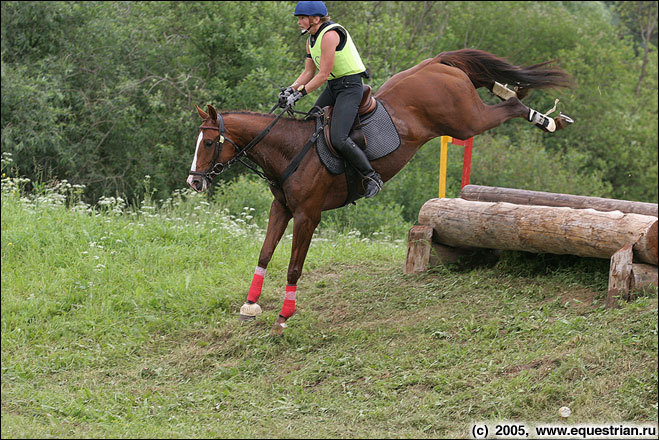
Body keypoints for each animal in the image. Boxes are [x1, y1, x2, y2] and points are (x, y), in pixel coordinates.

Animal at [188, 48, 576, 336]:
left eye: (207, 143)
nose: (193, 182)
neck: (290, 150)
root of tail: (436, 63)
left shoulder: (308, 216)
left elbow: (294, 268)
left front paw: (283, 318)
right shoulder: (280, 209)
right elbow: (265, 254)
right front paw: (250, 305)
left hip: (465, 122)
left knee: (509, 109)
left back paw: (547, 119)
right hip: (462, 113)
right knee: (498, 90)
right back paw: (519, 94)